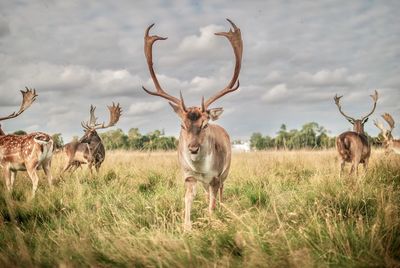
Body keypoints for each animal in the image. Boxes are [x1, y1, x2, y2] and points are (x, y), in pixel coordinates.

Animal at [143, 18, 244, 229]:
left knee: (219, 194)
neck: (201, 169)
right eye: (182, 125)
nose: (193, 148)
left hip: (226, 172)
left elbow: (213, 204)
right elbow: (188, 200)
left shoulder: (216, 176)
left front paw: (213, 222)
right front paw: (186, 227)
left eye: (205, 125)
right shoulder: (188, 175)